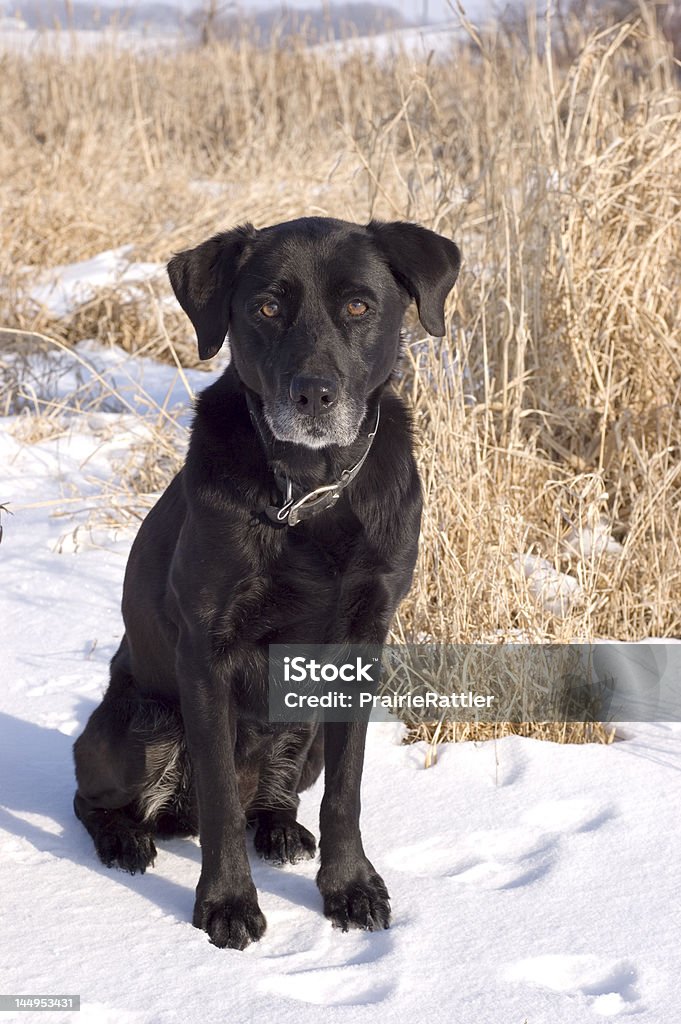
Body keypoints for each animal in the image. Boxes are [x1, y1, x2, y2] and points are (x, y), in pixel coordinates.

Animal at [71, 216, 458, 950]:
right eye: (267, 308)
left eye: (358, 306)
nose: (312, 394)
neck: (310, 491)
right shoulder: (207, 653)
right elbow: (222, 799)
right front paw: (226, 904)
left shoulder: (362, 643)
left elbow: (345, 793)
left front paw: (349, 888)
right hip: (141, 726)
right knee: (95, 798)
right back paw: (125, 840)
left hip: (302, 732)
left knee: (274, 796)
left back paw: (280, 829)